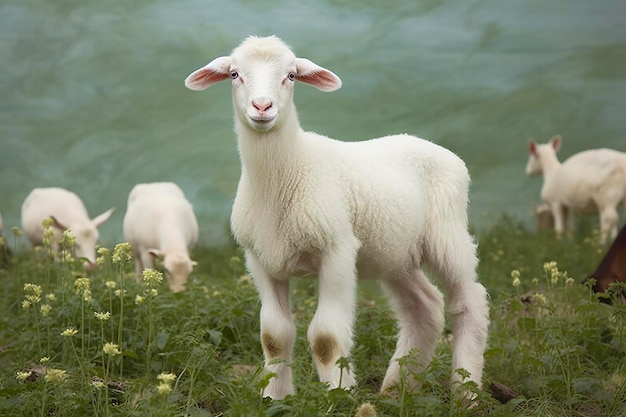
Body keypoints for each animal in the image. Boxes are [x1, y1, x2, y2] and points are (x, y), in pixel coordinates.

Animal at [183, 36, 490, 400]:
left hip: (447, 234)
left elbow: (326, 338)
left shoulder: (337, 250)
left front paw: (338, 395)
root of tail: (436, 148)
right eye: (234, 74)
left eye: (290, 75)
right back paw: (397, 389)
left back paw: (465, 392)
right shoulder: (259, 259)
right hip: (393, 254)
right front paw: (275, 398)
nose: (262, 106)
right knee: (425, 306)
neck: (289, 170)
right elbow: (274, 336)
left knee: (469, 301)